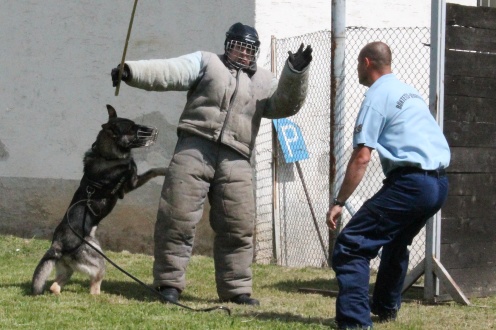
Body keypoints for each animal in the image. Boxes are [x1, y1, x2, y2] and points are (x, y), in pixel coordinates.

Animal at [31, 104, 167, 296]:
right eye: (132, 129)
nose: (153, 131)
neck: (106, 155)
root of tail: (57, 244)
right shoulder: (131, 183)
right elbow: (151, 171)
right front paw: (166, 169)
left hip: (69, 269)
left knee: (54, 286)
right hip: (99, 261)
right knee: (94, 286)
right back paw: (100, 297)